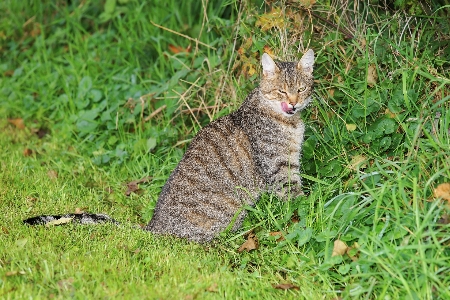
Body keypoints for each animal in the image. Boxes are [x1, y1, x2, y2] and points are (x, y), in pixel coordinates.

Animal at [24, 50, 314, 243]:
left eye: (301, 89)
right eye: (281, 91)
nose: (293, 103)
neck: (288, 122)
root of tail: (155, 225)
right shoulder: (278, 167)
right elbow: (295, 198)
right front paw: (308, 208)